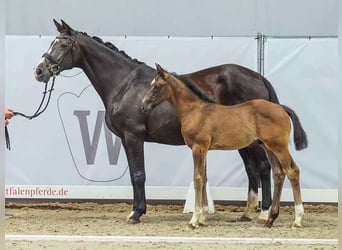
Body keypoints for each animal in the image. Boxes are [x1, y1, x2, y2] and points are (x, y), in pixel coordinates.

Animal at [34, 19, 284, 223]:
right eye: (53, 43)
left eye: (63, 45)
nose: (39, 71)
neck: (124, 84)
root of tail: (258, 77)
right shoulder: (125, 139)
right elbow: (134, 175)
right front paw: (136, 210)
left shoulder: (133, 136)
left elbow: (139, 175)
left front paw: (136, 214)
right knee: (252, 169)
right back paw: (247, 213)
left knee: (263, 168)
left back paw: (263, 213)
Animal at [142, 64, 308, 229]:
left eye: (157, 86)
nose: (143, 106)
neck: (195, 111)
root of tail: (281, 108)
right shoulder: (204, 150)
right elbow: (204, 178)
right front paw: (201, 218)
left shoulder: (198, 147)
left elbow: (197, 179)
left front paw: (194, 220)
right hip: (269, 147)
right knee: (278, 173)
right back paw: (270, 219)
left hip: (279, 147)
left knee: (292, 171)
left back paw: (297, 219)